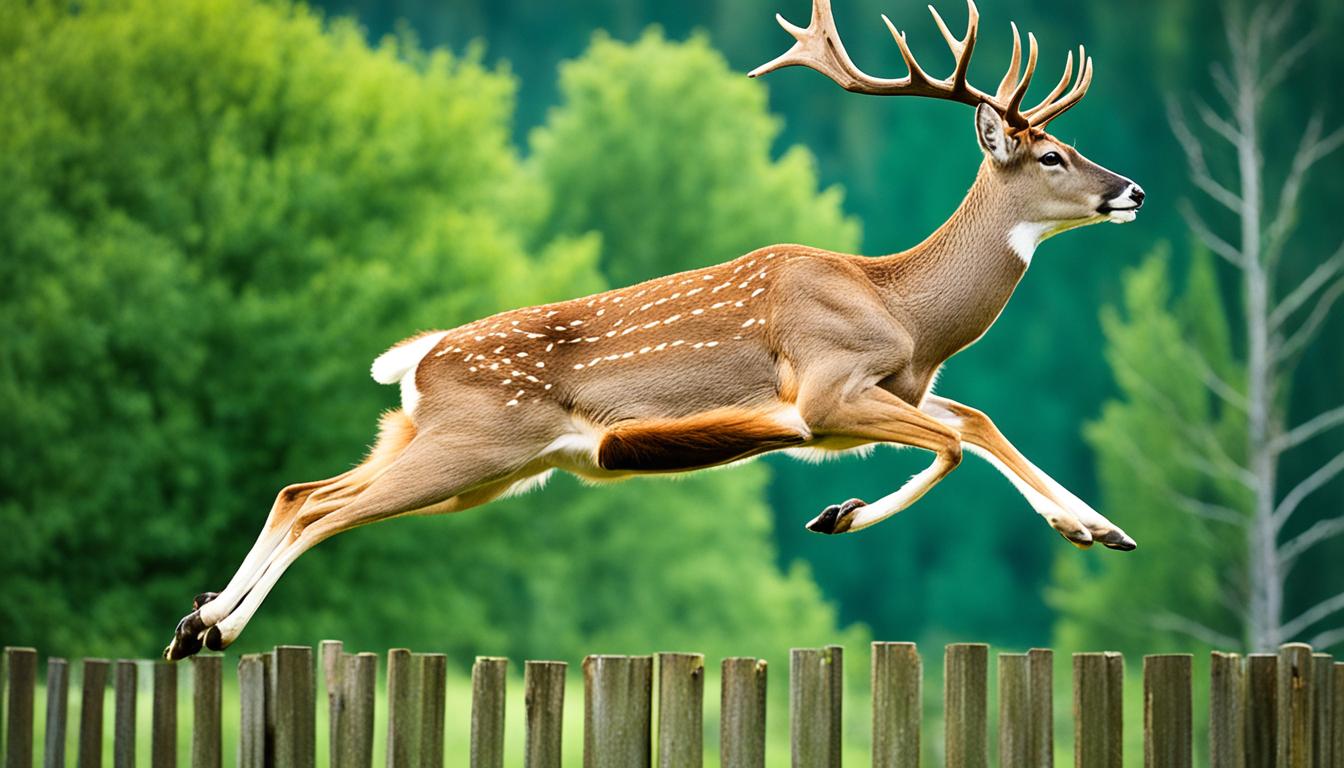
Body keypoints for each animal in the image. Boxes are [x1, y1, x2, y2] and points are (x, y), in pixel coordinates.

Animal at [159, 0, 1145, 661]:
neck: (904, 311)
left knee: (303, 491)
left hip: (455, 455)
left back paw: (198, 623)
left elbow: (966, 425)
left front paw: (1095, 529)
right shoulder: (825, 393)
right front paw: (851, 515)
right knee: (326, 507)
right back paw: (214, 627)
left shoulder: (881, 398)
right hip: (473, 443)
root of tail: (416, 359)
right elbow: (962, 437)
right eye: (1051, 156)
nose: (1132, 188)